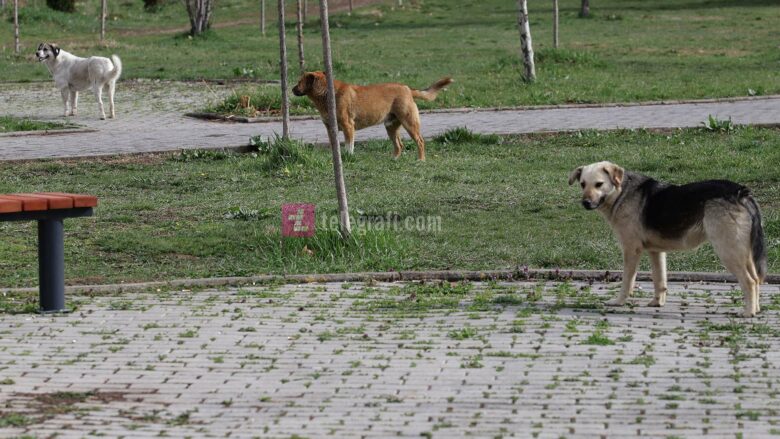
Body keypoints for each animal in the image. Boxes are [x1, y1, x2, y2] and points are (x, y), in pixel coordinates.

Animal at [290, 72, 450, 162]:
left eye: (299, 82)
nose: (291, 89)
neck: (327, 94)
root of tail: (407, 88)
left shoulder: (348, 126)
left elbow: (349, 146)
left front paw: (348, 157)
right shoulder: (330, 128)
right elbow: (334, 146)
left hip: (409, 123)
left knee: (420, 141)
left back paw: (420, 160)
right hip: (390, 126)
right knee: (399, 145)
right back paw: (394, 159)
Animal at [568, 162, 764, 316]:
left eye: (599, 184)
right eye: (582, 184)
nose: (585, 203)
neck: (621, 192)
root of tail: (741, 192)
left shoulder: (631, 250)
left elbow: (627, 281)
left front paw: (618, 301)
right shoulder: (656, 252)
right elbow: (659, 279)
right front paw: (657, 303)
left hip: (728, 250)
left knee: (750, 282)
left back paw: (747, 313)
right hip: (744, 252)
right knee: (756, 280)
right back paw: (755, 309)